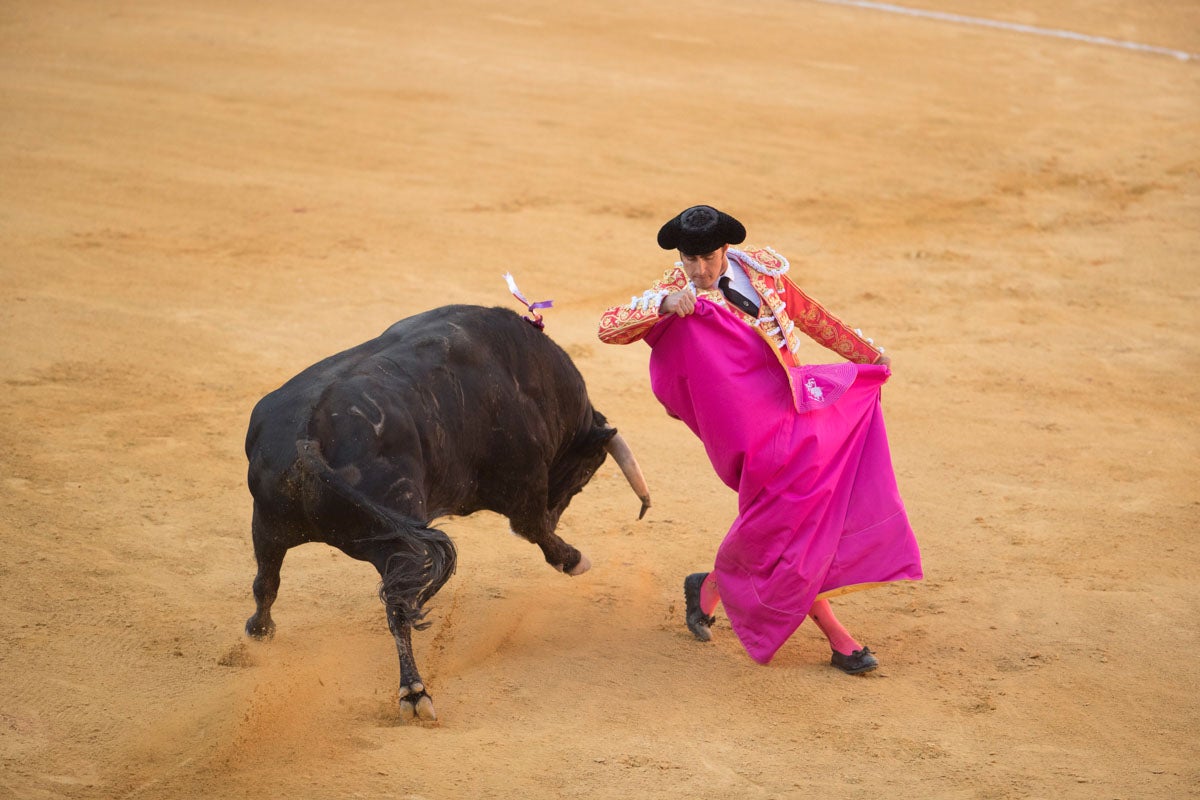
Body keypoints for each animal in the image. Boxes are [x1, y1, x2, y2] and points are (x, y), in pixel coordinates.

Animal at [241, 303, 648, 724]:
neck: (532, 377)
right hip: (396, 545)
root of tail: (309, 437)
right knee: (399, 609)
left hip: (268, 524)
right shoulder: (525, 482)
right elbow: (533, 527)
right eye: (586, 474)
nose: (558, 510)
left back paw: (259, 632)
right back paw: (415, 692)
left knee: (266, 581)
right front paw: (574, 559)